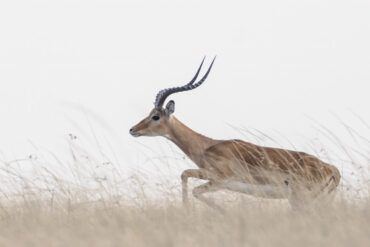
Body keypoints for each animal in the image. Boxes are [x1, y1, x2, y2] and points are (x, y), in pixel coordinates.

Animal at [130, 57, 342, 210]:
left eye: (156, 116)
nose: (132, 129)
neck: (207, 146)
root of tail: (333, 170)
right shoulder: (217, 182)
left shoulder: (220, 179)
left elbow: (187, 179)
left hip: (302, 201)